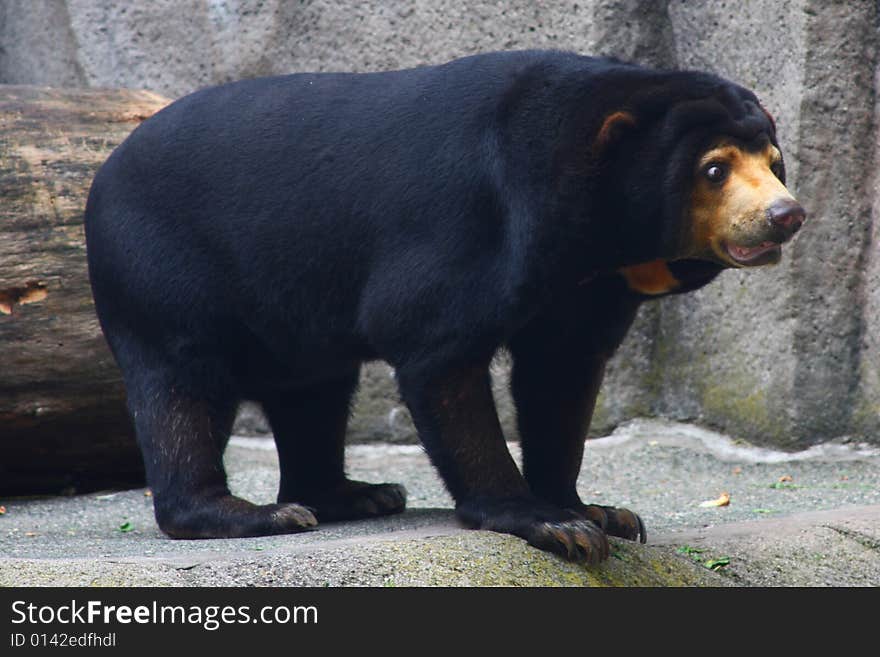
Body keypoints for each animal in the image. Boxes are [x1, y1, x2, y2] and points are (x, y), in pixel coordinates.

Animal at [84, 51, 804, 564]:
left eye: (773, 162)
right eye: (713, 170)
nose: (786, 215)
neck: (595, 237)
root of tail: (103, 171)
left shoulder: (583, 288)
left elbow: (561, 380)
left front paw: (598, 511)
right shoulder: (471, 230)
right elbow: (439, 353)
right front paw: (549, 522)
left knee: (312, 391)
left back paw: (354, 495)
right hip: (163, 272)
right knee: (184, 389)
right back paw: (251, 513)